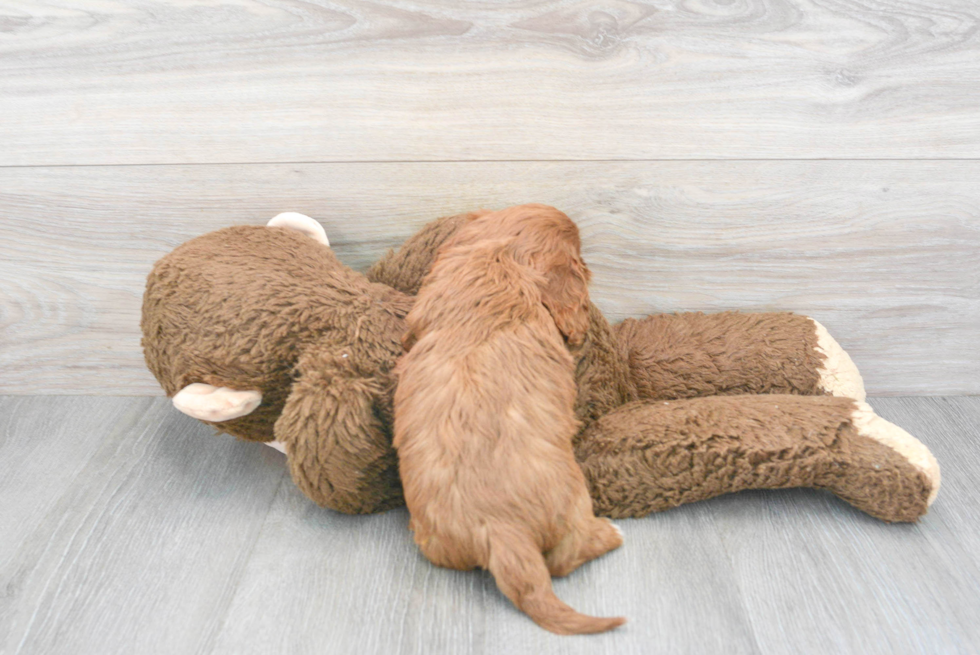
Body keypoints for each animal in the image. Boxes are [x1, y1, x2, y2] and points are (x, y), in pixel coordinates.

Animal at [394, 206, 624, 636]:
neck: (499, 261)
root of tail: (502, 530)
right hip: (575, 501)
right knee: (565, 558)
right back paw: (610, 532)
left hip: (435, 544)